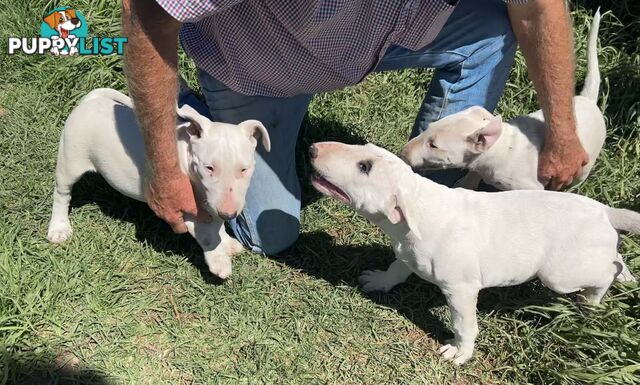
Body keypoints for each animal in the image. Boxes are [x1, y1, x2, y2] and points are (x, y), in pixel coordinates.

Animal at [47, 88, 270, 278]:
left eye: (244, 169)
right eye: (209, 168)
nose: (229, 213)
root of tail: (90, 100)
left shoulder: (211, 201)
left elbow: (216, 224)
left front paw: (228, 243)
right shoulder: (182, 207)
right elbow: (208, 233)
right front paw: (219, 261)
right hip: (71, 160)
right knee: (61, 194)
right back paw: (58, 228)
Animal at [308, 141, 636, 364]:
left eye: (364, 167)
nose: (312, 149)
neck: (418, 209)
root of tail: (605, 212)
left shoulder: (461, 288)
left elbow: (464, 324)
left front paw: (459, 352)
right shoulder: (407, 252)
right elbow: (397, 268)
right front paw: (379, 281)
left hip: (559, 275)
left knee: (606, 273)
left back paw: (593, 302)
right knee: (615, 258)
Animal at [402, 11, 604, 191]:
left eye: (434, 145)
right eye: (428, 128)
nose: (403, 152)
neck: (500, 146)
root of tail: (588, 99)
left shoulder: (529, 186)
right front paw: (465, 184)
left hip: (583, 168)